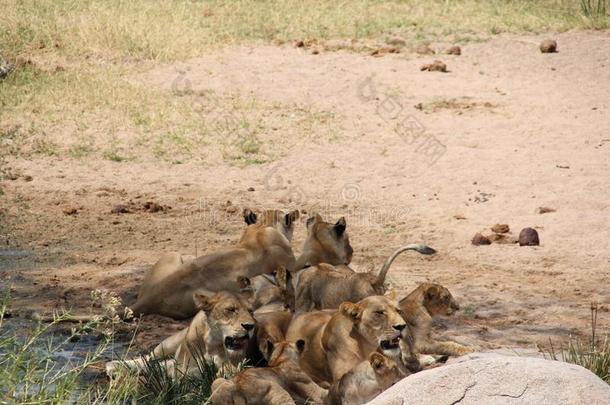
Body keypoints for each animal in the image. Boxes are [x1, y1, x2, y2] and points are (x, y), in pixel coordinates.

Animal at [105, 290, 253, 376]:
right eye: (231, 310)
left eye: (250, 310)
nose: (250, 326)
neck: (211, 343)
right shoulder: (184, 367)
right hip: (166, 346)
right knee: (148, 360)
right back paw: (115, 365)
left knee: (157, 365)